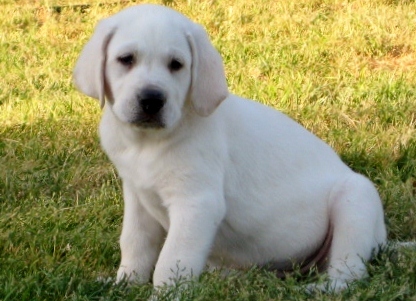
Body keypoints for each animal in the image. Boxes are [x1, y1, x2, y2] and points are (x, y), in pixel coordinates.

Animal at [74, 3, 386, 292]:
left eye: (176, 64)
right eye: (126, 60)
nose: (152, 100)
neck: (146, 142)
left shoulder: (196, 202)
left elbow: (172, 260)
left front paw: (164, 294)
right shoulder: (137, 195)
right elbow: (134, 243)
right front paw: (124, 284)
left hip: (356, 198)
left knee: (349, 272)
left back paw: (318, 289)